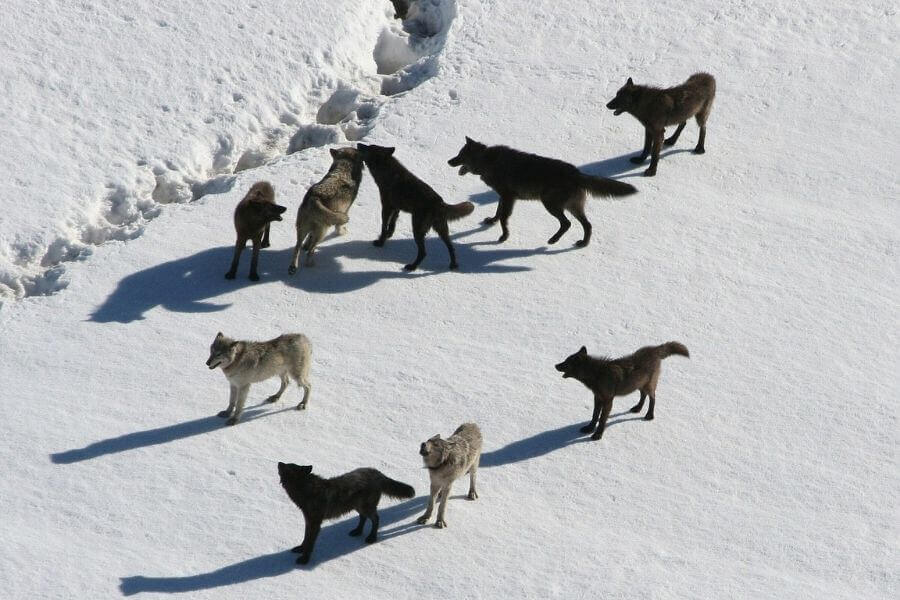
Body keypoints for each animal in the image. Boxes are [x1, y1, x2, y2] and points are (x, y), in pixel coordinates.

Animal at [277, 462, 415, 564]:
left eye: (288, 467)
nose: (279, 462)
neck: (307, 490)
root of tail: (378, 473)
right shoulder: (308, 521)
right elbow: (305, 538)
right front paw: (300, 549)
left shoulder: (315, 523)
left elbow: (310, 542)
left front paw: (304, 560)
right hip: (358, 506)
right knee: (363, 517)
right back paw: (357, 531)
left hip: (366, 507)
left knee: (376, 519)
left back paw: (371, 538)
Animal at [447, 137, 637, 246]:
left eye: (460, 155)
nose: (449, 161)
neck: (488, 161)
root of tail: (577, 173)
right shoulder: (503, 196)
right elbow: (498, 212)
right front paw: (491, 222)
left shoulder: (508, 197)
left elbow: (503, 218)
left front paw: (504, 237)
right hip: (572, 207)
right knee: (587, 225)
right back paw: (583, 243)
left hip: (550, 204)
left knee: (567, 223)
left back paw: (553, 240)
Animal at [555, 342, 690, 440]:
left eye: (566, 363)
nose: (555, 365)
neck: (597, 374)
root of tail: (655, 349)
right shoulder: (597, 398)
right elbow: (594, 416)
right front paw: (589, 428)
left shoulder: (608, 400)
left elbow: (602, 419)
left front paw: (598, 435)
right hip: (639, 385)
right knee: (643, 395)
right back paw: (637, 408)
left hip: (648, 385)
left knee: (653, 398)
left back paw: (649, 416)